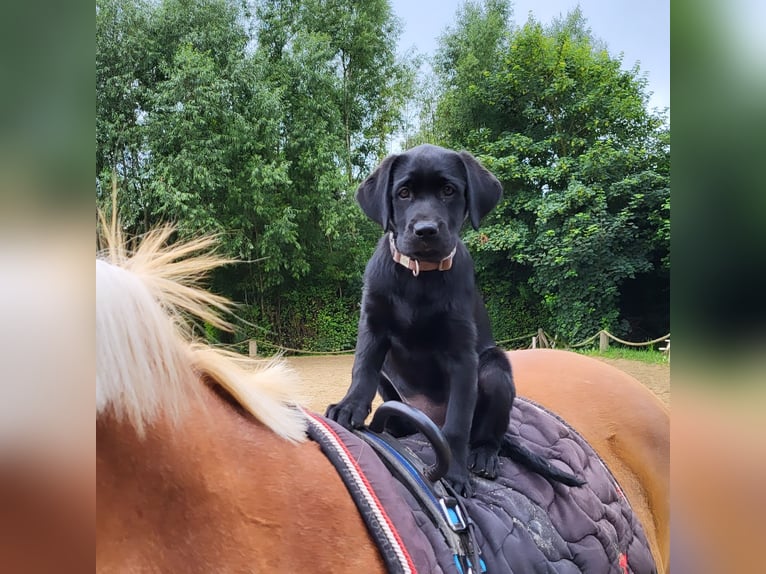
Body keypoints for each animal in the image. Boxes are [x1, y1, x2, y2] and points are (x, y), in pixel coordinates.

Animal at [328, 143, 584, 496]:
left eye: (449, 191)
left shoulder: (462, 355)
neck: (420, 276)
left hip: (494, 369)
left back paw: (484, 456)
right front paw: (349, 407)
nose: (425, 231)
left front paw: (455, 473)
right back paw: (396, 425)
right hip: (391, 372)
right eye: (403, 193)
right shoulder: (373, 326)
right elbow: (362, 370)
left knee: (487, 433)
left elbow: (458, 424)